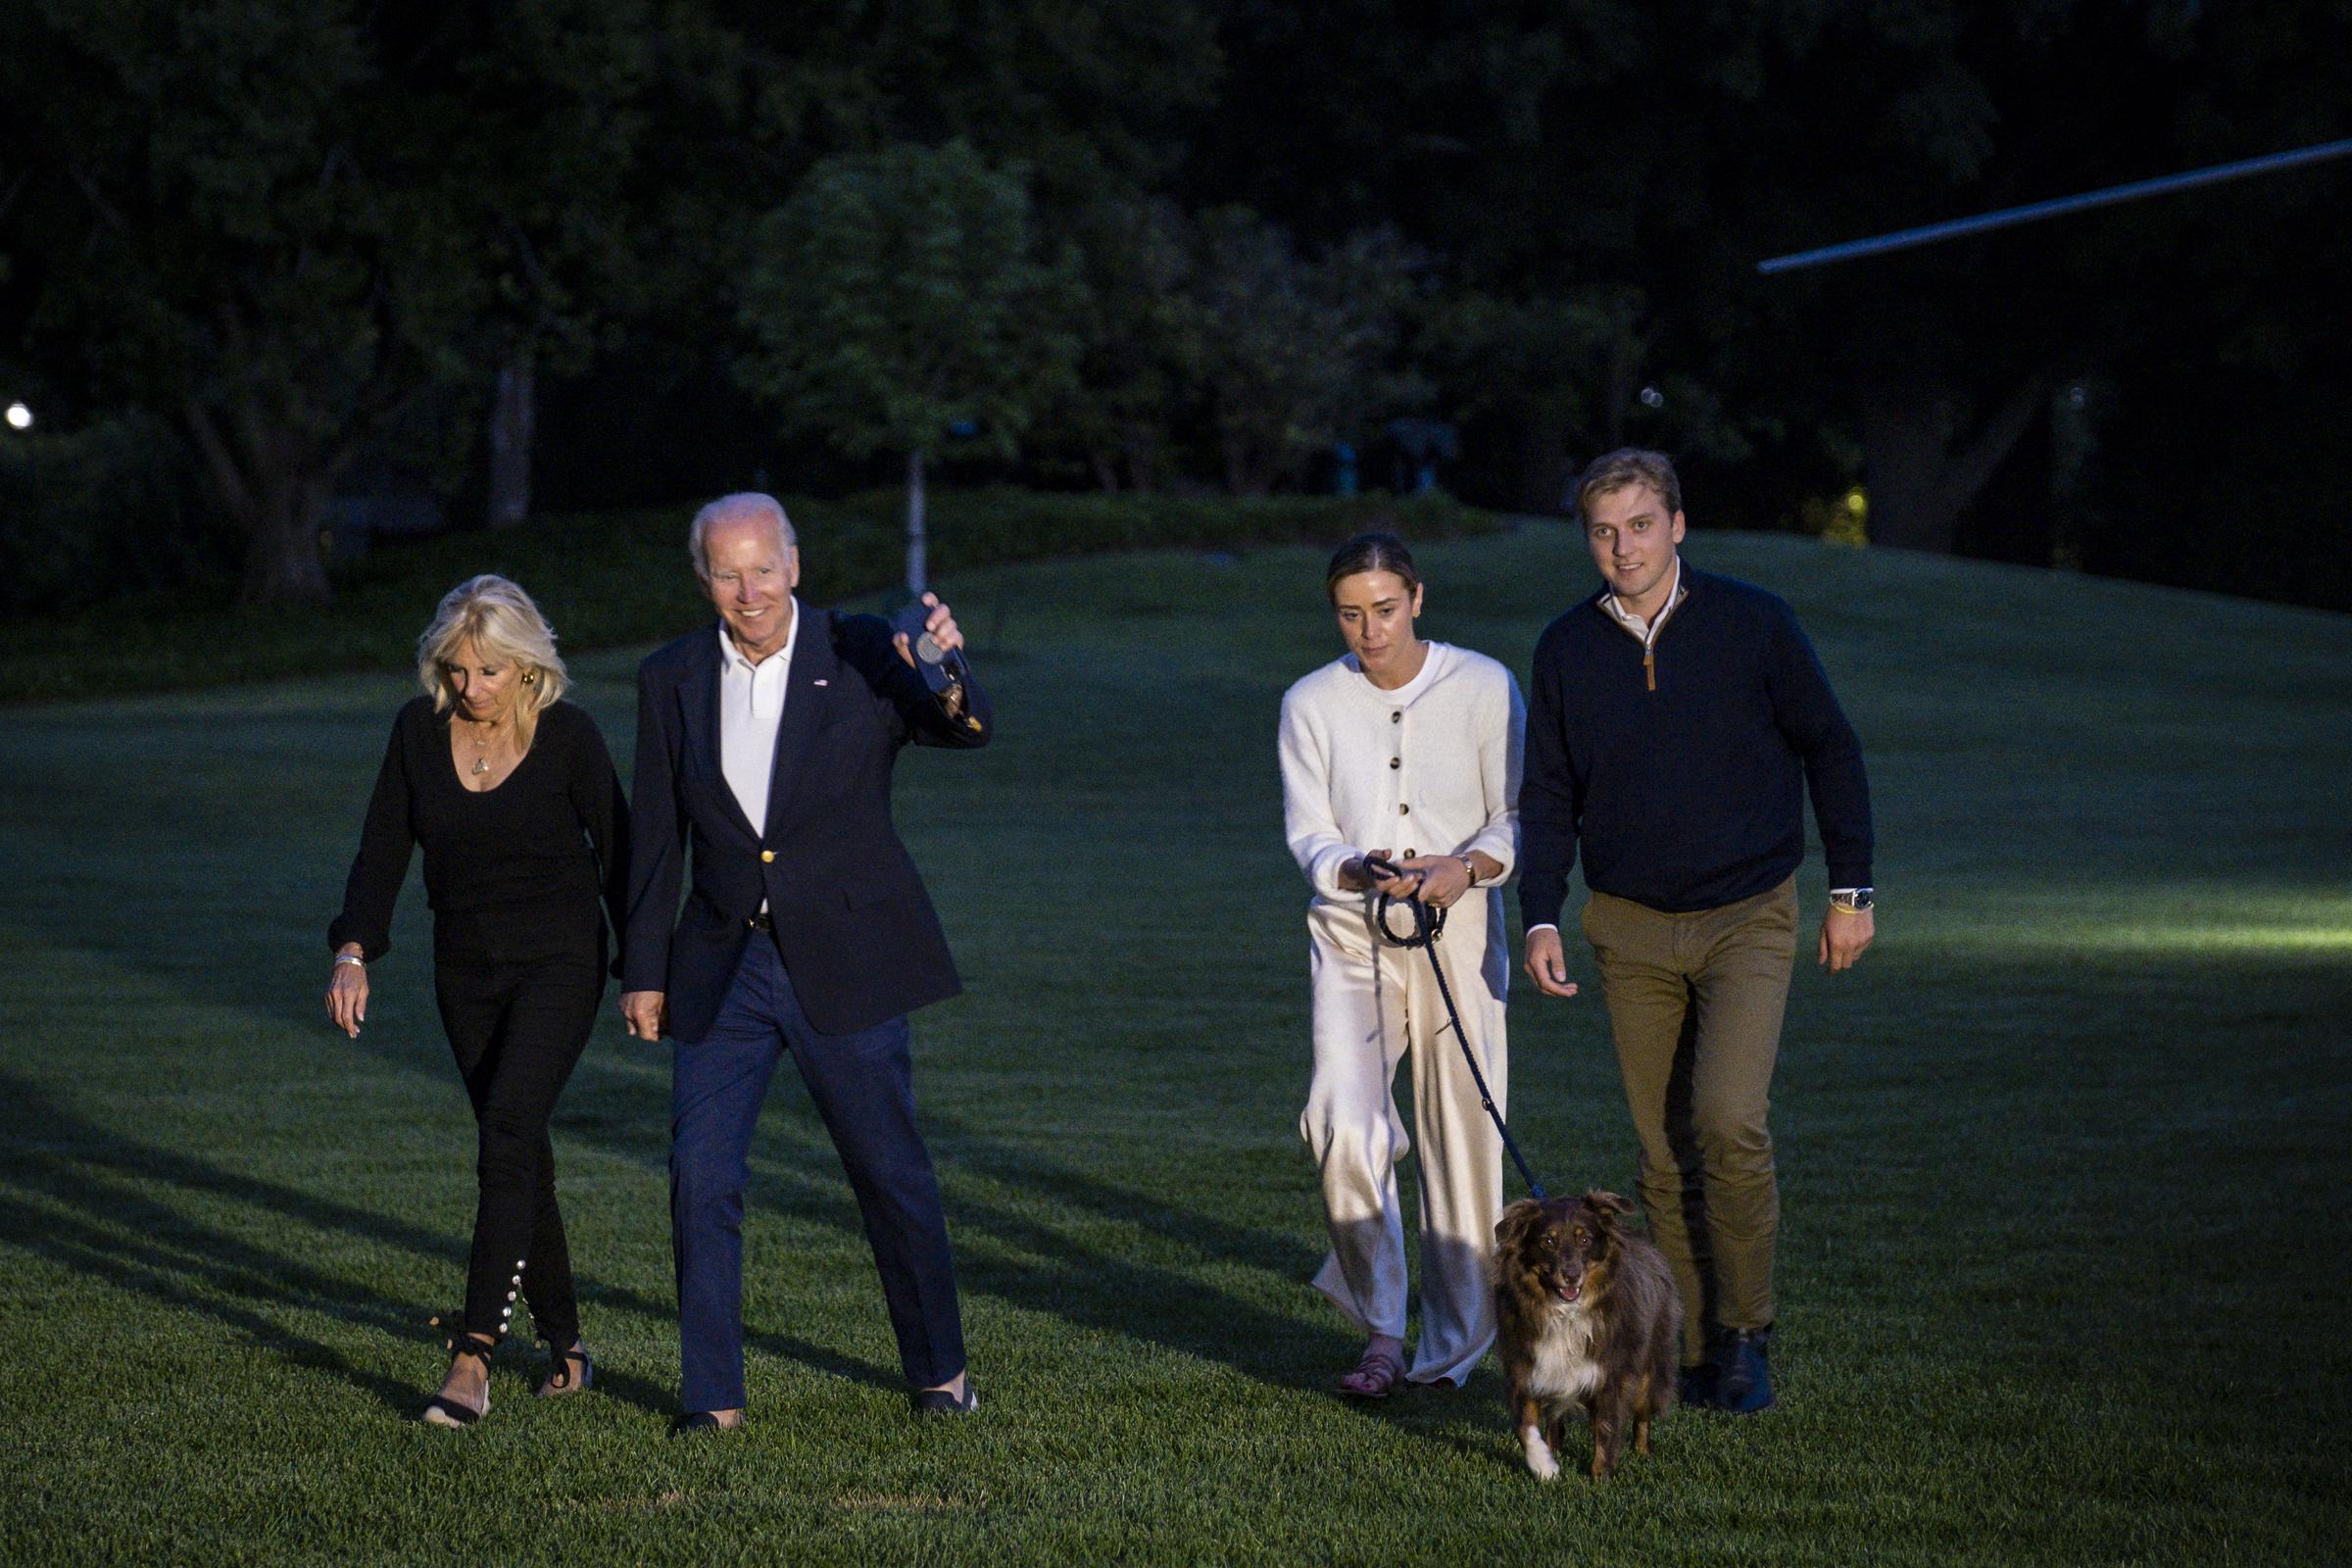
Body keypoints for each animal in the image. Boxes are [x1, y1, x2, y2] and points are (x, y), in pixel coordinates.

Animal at [1495, 1194, 1684, 1476]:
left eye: (1584, 1240)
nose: (1571, 1276)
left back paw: (1643, 1452)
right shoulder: (1524, 1366)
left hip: (1651, 1366)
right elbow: (1524, 1427)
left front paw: (1600, 1478)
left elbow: (1606, 1429)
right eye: (1547, 1242)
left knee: (1643, 1414)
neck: (1565, 1313)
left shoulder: (1610, 1373)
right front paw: (1545, 1467)